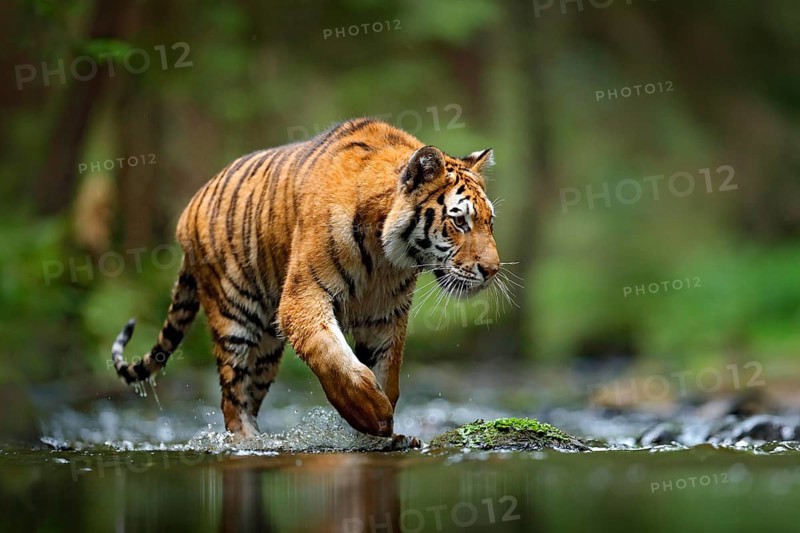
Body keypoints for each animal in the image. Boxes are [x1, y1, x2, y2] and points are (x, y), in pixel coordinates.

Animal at [111, 118, 500, 440]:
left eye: (489, 222)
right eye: (459, 221)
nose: (492, 270)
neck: (385, 258)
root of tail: (189, 210)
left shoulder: (384, 316)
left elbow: (387, 371)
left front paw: (381, 434)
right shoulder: (303, 298)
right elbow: (333, 357)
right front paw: (372, 414)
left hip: (266, 348)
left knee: (250, 394)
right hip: (234, 317)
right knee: (231, 398)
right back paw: (249, 444)